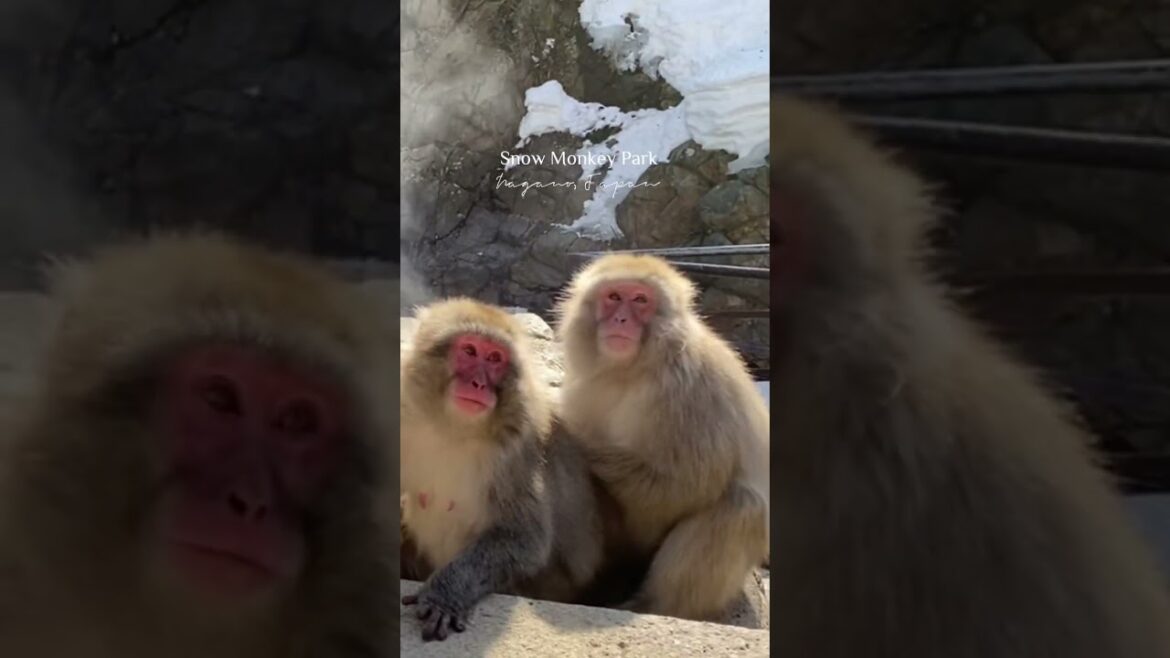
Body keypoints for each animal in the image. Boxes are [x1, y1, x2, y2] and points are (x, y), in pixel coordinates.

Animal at [399, 298, 603, 641]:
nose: (478, 383)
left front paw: (445, 595)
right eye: (469, 351)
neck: (452, 429)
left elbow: (524, 539)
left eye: (495, 358)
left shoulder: (518, 453)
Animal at [555, 254, 770, 622]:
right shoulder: (587, 386)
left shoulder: (691, 390)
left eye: (641, 300)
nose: (622, 318)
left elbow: (685, 486)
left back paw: (652, 605)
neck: (630, 372)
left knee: (740, 506)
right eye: (614, 297)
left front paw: (569, 432)